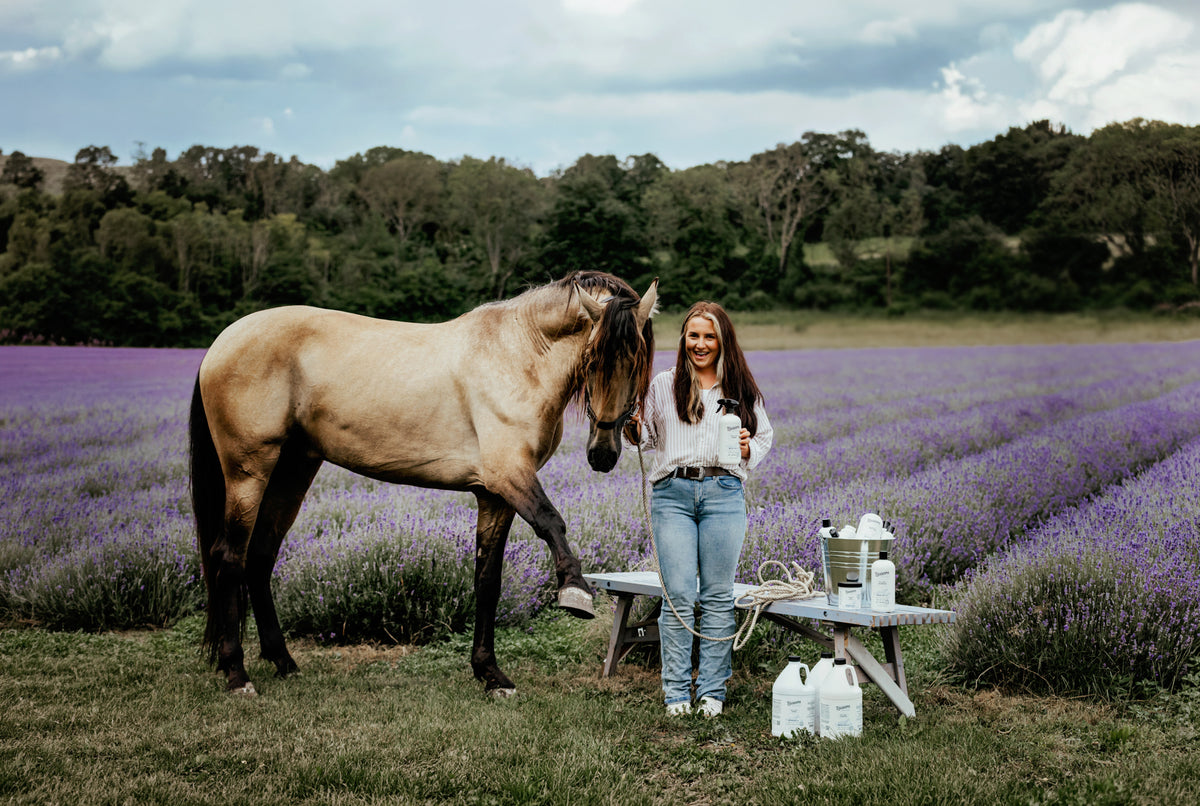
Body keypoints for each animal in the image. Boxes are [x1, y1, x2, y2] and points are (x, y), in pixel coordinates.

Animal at [189, 270, 658, 696]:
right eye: (593, 358)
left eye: (638, 363)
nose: (603, 454)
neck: (516, 356)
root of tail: (222, 343)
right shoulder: (510, 475)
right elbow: (550, 521)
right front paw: (574, 591)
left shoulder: (494, 494)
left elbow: (488, 580)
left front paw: (490, 674)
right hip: (249, 470)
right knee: (229, 557)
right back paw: (237, 675)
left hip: (292, 471)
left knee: (260, 557)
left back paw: (283, 662)